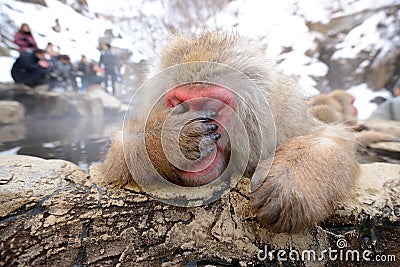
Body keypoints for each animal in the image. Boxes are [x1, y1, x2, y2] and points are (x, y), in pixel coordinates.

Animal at [98, 31, 360, 234]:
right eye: (180, 105)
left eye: (212, 106)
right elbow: (117, 159)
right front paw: (170, 136)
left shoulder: (286, 123)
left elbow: (328, 137)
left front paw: (292, 179)